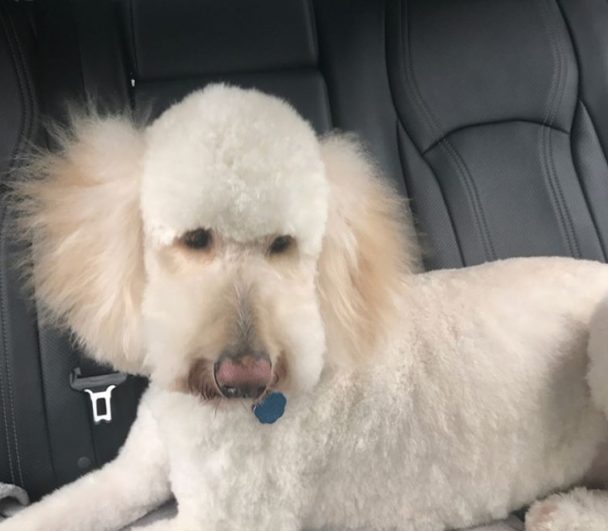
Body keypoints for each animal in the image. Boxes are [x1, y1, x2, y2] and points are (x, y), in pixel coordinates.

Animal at [3, 85, 608, 528]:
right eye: (195, 239)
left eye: (283, 245)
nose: (245, 377)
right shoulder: (130, 475)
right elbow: (56, 510)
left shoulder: (229, 518)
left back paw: (565, 512)